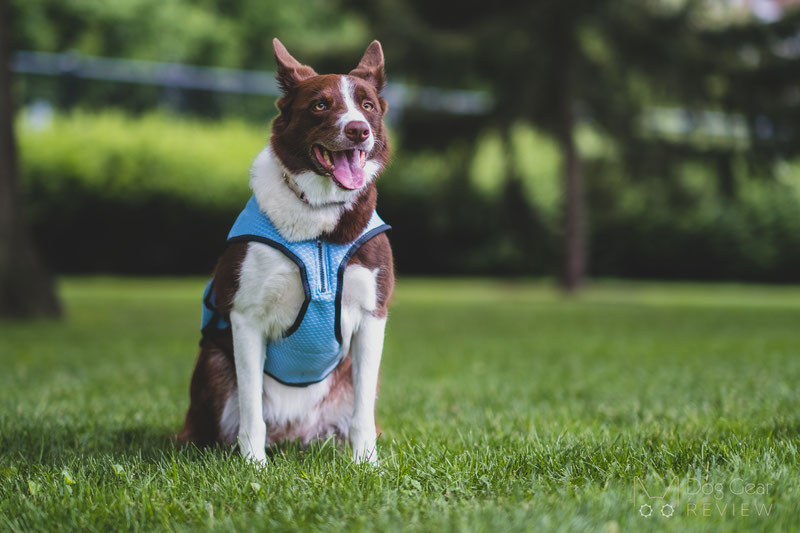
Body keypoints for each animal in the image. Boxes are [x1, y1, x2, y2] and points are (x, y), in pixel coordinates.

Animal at [180, 38, 396, 466]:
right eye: (321, 105)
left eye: (367, 105)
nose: (358, 130)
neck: (320, 225)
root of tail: (295, 434)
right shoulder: (245, 315)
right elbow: (251, 409)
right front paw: (254, 466)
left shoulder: (372, 317)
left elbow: (363, 410)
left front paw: (366, 465)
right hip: (212, 364)